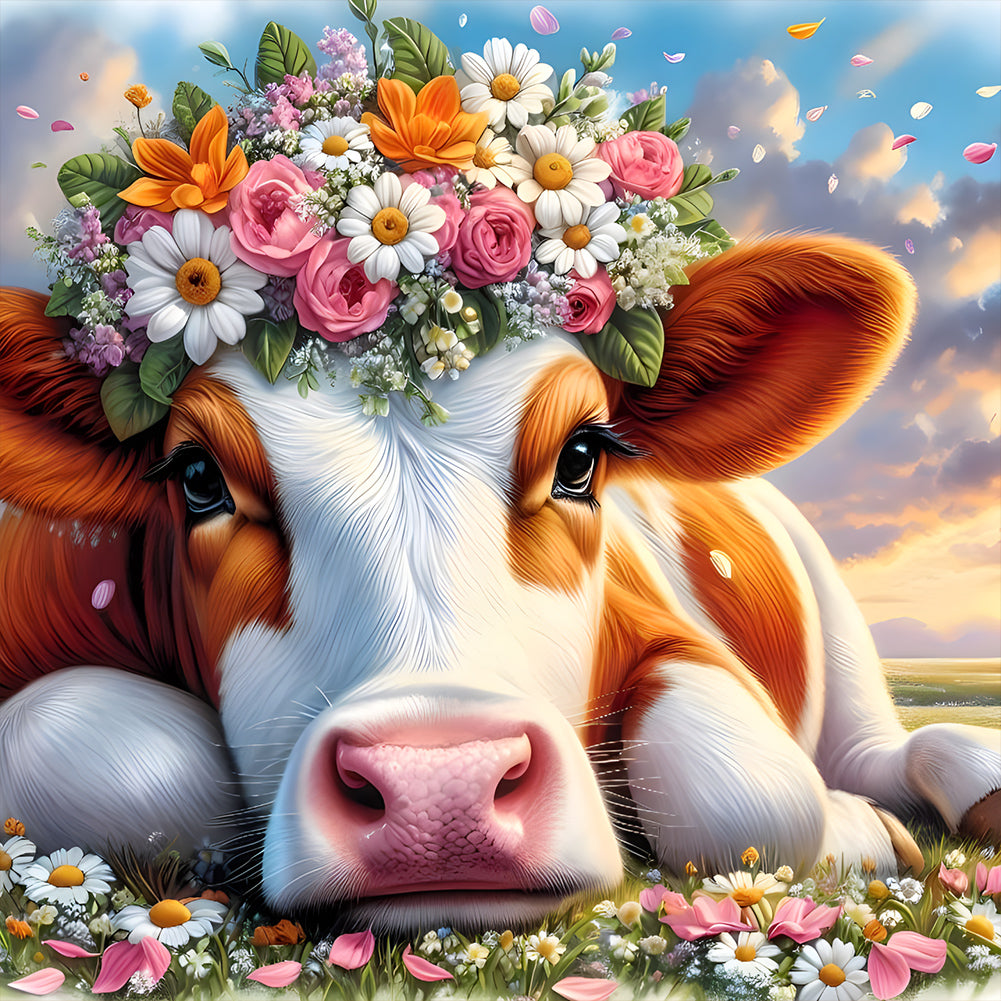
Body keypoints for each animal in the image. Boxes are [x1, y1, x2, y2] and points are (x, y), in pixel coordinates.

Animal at [1, 234, 999, 932]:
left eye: (582, 457)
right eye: (198, 477)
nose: (438, 792)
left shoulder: (667, 630)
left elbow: (746, 790)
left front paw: (859, 831)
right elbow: (83, 741)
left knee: (874, 745)